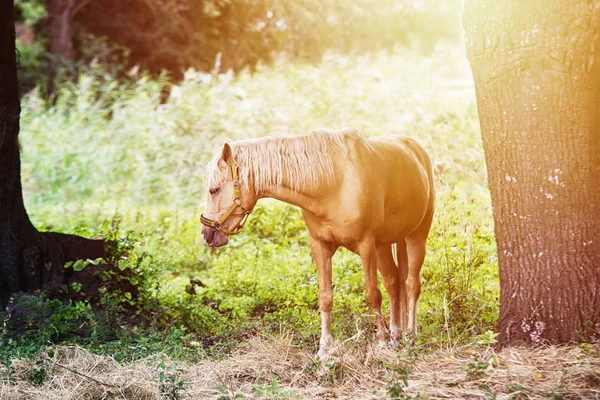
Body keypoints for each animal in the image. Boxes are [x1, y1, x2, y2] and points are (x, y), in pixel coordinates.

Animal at [202, 128, 436, 356]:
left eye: (214, 190)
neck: (332, 184)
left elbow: (373, 295)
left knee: (412, 285)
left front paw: (381, 342)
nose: (207, 233)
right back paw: (396, 336)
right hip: (384, 245)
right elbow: (325, 297)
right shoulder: (320, 246)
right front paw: (324, 349)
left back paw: (410, 339)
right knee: (393, 281)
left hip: (416, 237)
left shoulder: (366, 245)